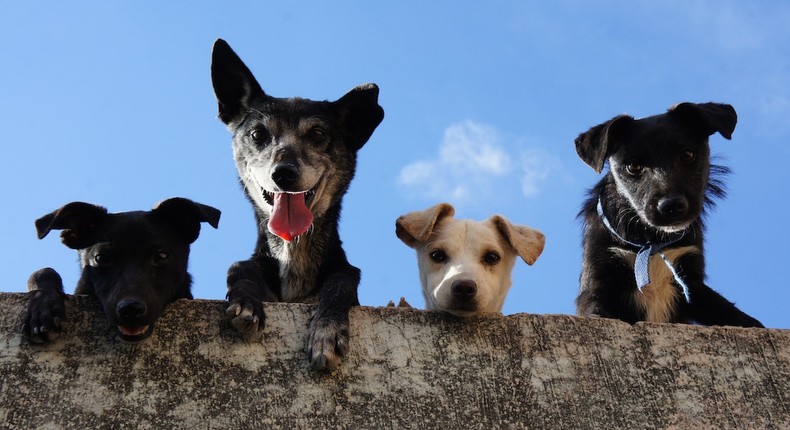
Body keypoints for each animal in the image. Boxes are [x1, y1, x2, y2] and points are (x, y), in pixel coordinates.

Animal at [209, 38, 386, 372]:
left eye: (317, 133)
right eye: (258, 134)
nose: (284, 173)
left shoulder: (344, 277)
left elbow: (341, 280)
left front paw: (327, 331)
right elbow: (238, 266)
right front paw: (246, 302)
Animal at [580, 102, 764, 328]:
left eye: (687, 154)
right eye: (633, 167)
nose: (672, 205)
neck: (651, 241)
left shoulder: (692, 282)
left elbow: (735, 315)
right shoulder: (599, 280)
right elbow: (597, 311)